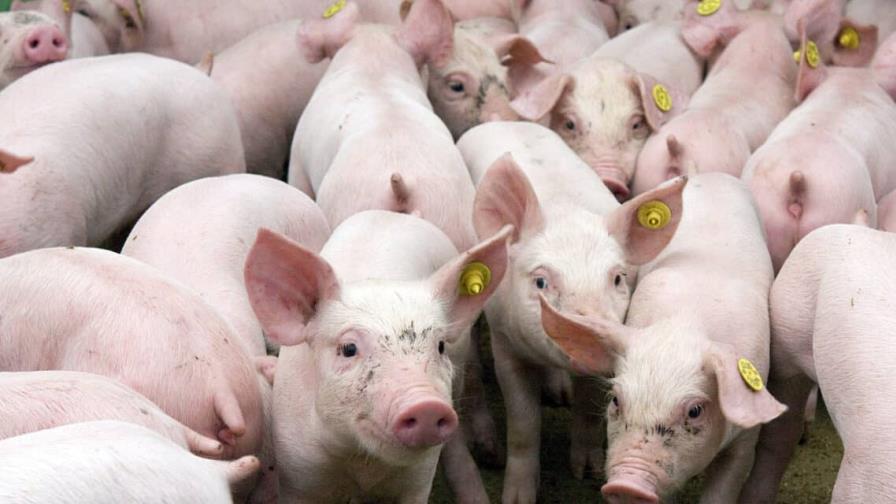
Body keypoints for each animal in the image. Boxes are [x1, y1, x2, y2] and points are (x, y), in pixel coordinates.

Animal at [243, 211, 511, 503]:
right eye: (349, 348)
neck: (361, 462)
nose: (426, 404)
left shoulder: (419, 479)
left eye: (440, 346)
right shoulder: (297, 473)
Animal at [456, 121, 687, 503]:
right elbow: (524, 422)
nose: (588, 326)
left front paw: (587, 472)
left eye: (618, 277)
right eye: (540, 281)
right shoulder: (505, 344)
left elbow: (588, 409)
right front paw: (517, 497)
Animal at [539, 173, 786, 503]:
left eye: (695, 411)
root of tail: (710, 174)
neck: (684, 324)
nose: (626, 484)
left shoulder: (746, 437)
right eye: (615, 399)